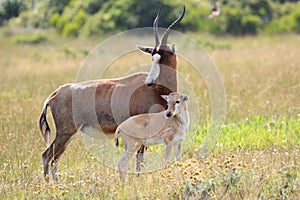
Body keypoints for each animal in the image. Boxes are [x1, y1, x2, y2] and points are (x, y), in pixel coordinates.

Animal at [39, 6, 186, 182]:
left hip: (68, 134)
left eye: (164, 56)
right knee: (47, 156)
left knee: (55, 158)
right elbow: (140, 160)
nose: (149, 82)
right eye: (153, 57)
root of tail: (53, 95)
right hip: (65, 132)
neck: (155, 91)